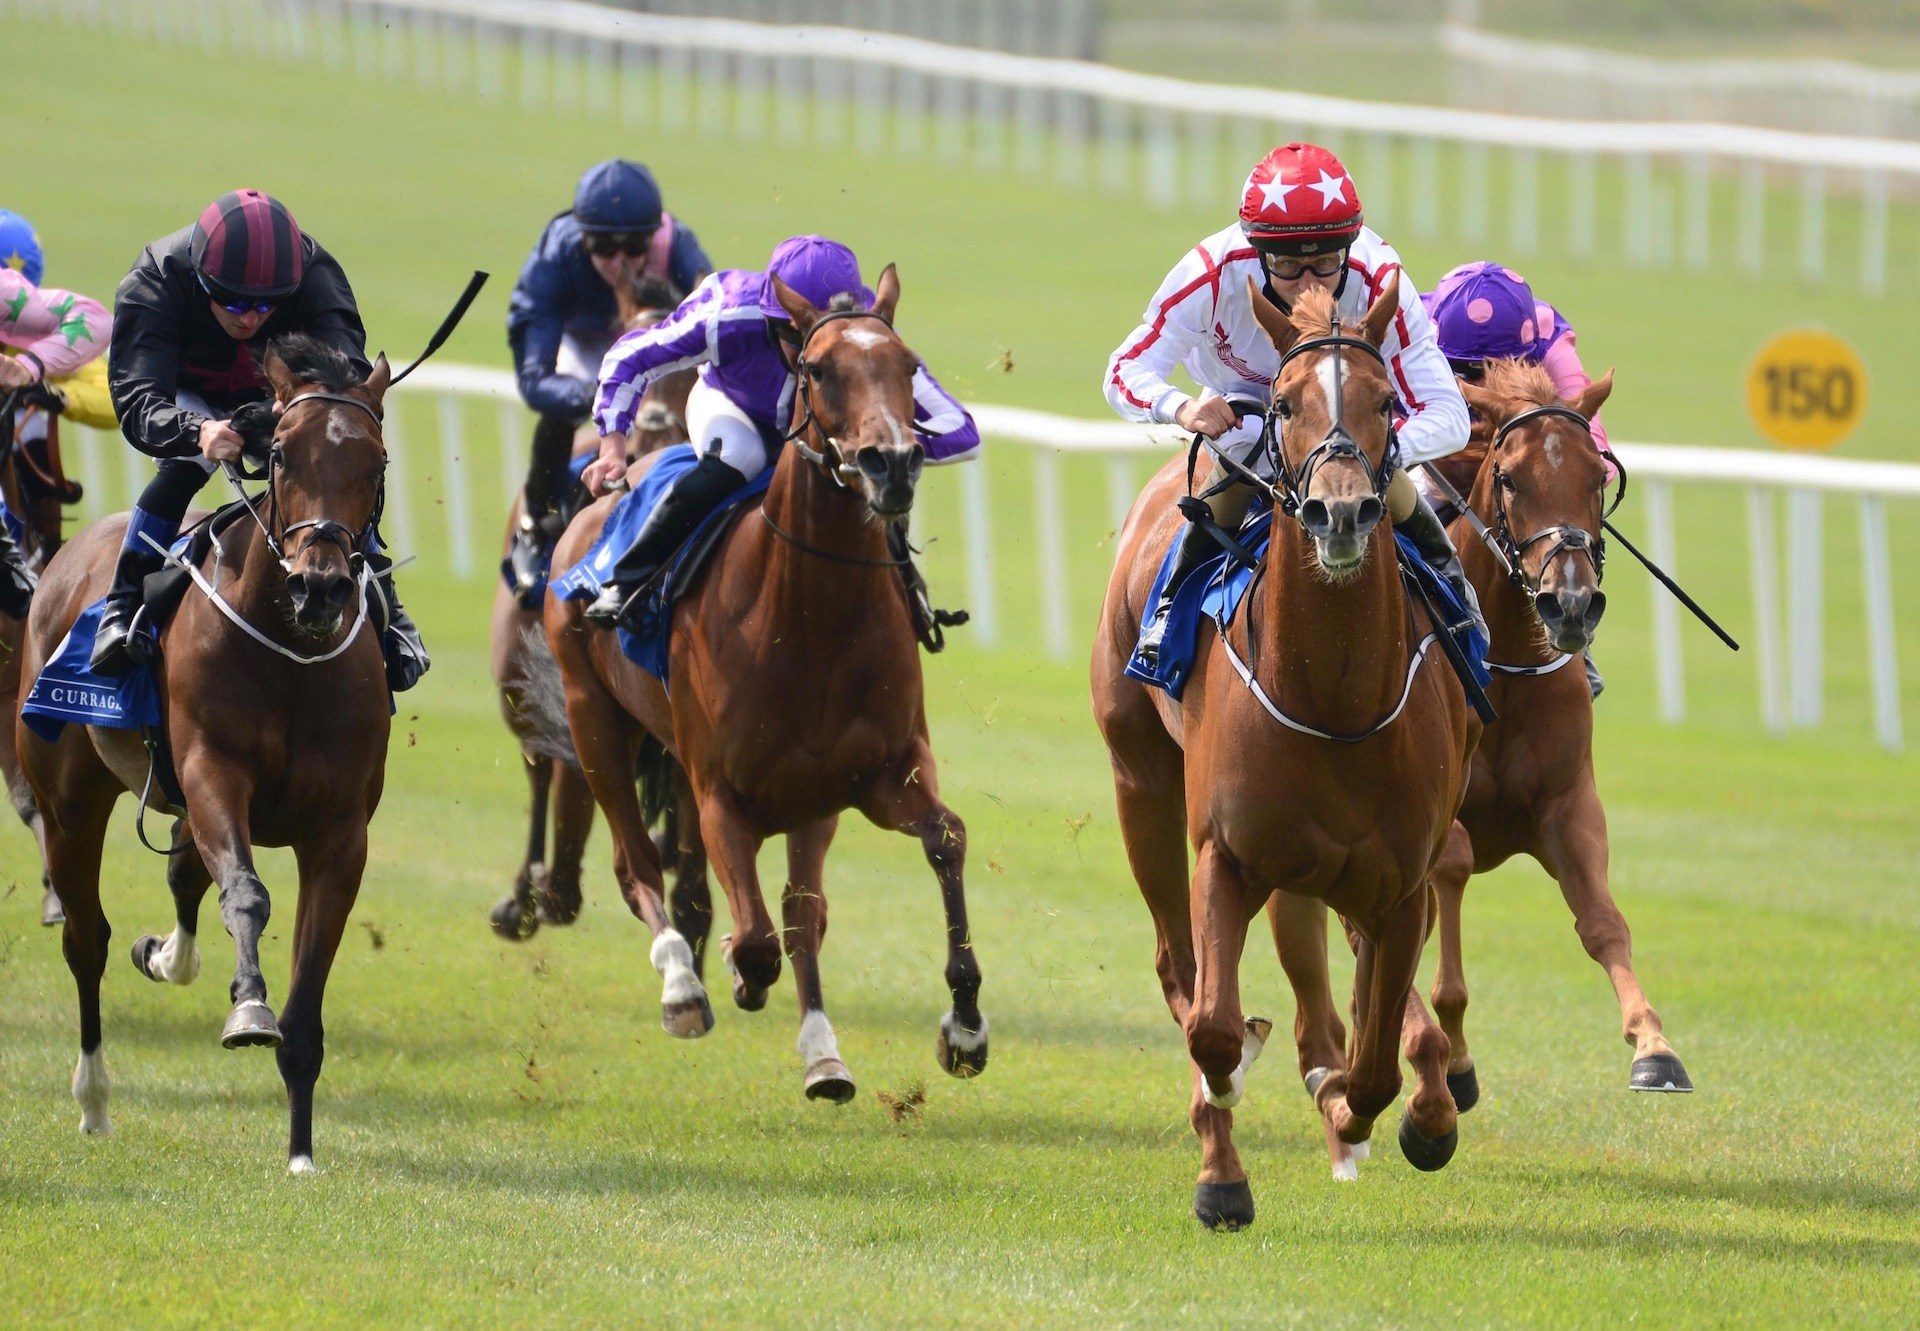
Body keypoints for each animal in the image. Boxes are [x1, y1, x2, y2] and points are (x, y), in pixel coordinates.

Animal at [16, 338, 399, 1167]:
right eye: (281, 453)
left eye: (378, 461)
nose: (320, 587)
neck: (291, 655)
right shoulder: (213, 775)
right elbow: (247, 894)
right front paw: (249, 1007)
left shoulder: (340, 833)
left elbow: (306, 1001)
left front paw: (301, 1152)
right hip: (69, 799)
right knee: (87, 939)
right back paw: (94, 1096)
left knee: (182, 875)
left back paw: (167, 954)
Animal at [541, 265, 990, 1098]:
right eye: (817, 369)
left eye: (908, 366)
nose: (891, 463)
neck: (808, 618)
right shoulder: (723, 792)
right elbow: (752, 933)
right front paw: (729, 973)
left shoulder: (875, 773)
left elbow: (938, 843)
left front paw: (965, 1025)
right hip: (595, 722)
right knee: (635, 862)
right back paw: (681, 984)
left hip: (800, 794)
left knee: (796, 908)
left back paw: (822, 1053)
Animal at [1098, 280, 1466, 1221]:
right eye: (1289, 402)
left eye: (1384, 402)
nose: (1341, 510)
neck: (1333, 703)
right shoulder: (1226, 856)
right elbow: (1214, 1027)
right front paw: (1222, 1164)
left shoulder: (1398, 884)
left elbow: (1371, 1066)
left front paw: (1374, 1111)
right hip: (1140, 782)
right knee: (1180, 968)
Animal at [1413, 359, 1697, 1098]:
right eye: (1511, 477)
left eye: (1597, 476)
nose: (1569, 603)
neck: (1505, 667)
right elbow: (1449, 873)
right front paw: (1454, 1057)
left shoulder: (1570, 805)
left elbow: (1602, 922)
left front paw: (1653, 1045)